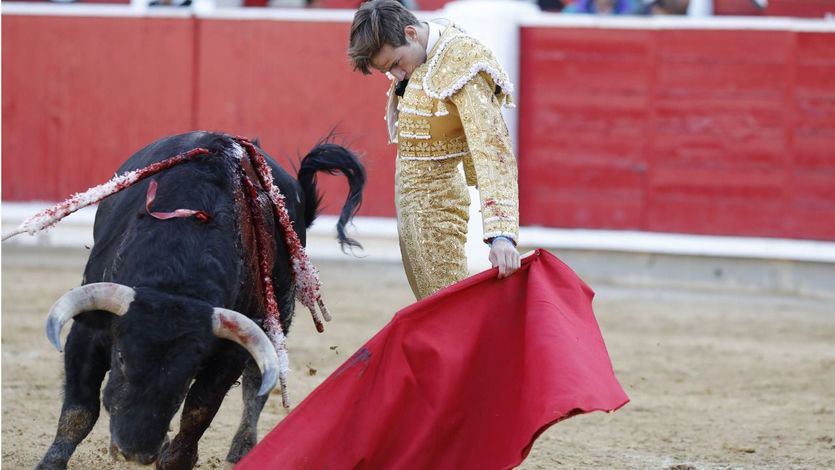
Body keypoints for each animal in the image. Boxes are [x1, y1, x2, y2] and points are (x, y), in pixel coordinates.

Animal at [33, 131, 366, 470]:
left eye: (189, 370)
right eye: (122, 357)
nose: (135, 451)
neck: (176, 274)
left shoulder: (231, 349)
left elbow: (199, 409)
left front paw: (176, 459)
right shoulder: (88, 329)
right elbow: (80, 411)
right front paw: (51, 463)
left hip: (280, 310)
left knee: (257, 381)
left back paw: (242, 449)